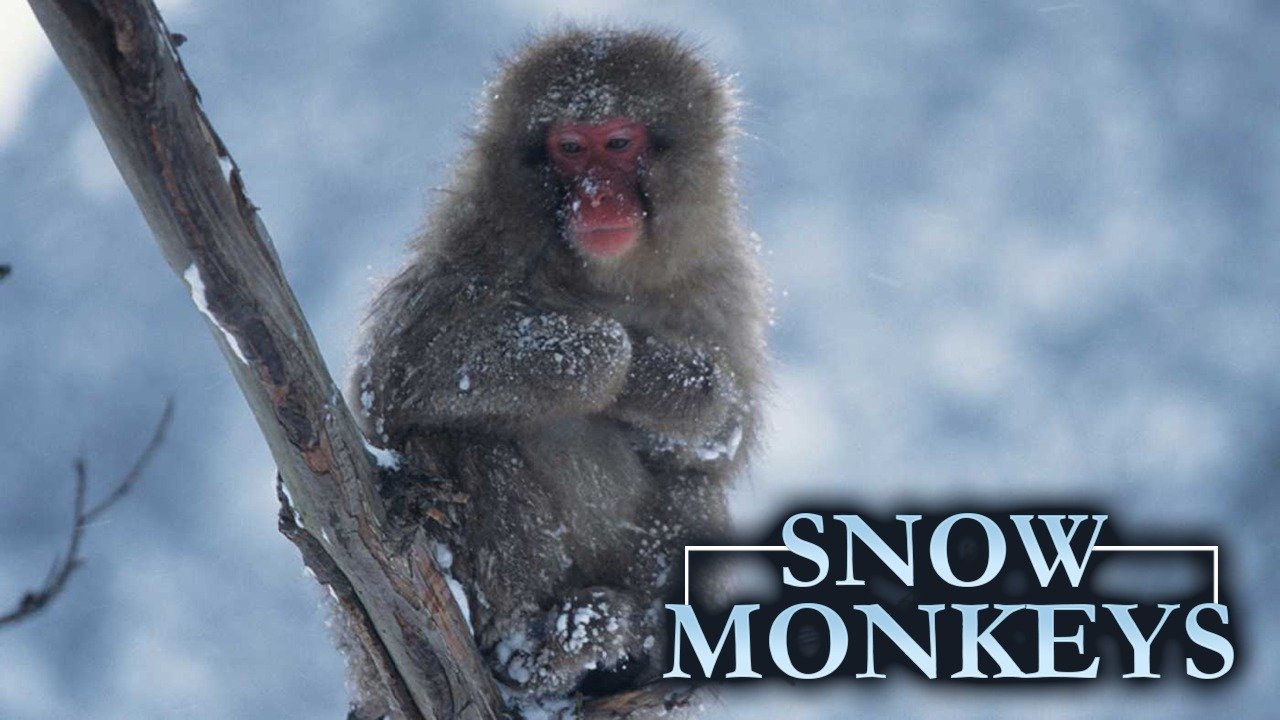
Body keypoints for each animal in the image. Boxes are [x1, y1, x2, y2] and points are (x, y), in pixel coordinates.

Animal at [349, 28, 768, 699]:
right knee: (468, 440)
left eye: (619, 143)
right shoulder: (468, 247)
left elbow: (722, 436)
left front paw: (668, 381)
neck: (603, 278)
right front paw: (617, 358)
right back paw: (534, 653)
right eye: (570, 148)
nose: (597, 197)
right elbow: (382, 386)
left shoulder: (720, 282)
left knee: (691, 484)